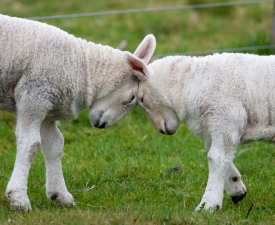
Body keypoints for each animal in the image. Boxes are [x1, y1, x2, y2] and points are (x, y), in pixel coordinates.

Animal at [0, 13, 156, 211]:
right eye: (131, 98)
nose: (101, 125)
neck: (81, 66)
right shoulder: (34, 96)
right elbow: (30, 145)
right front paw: (18, 197)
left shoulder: (48, 107)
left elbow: (54, 146)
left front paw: (59, 194)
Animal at [138, 53, 275, 212]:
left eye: (142, 98)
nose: (162, 130)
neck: (192, 82)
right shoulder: (214, 129)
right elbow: (219, 156)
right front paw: (236, 187)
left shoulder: (226, 119)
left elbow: (215, 158)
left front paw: (208, 205)